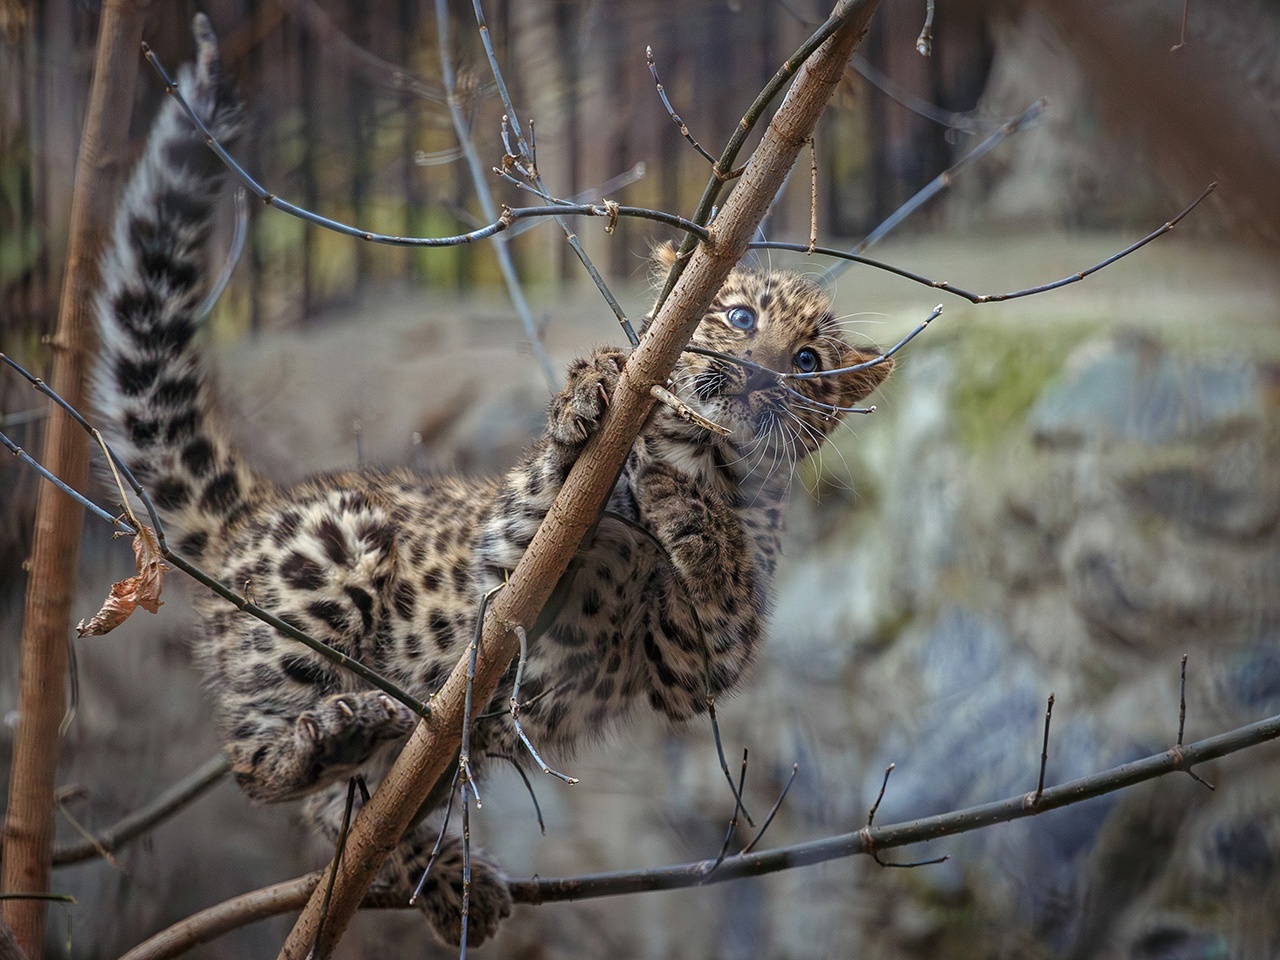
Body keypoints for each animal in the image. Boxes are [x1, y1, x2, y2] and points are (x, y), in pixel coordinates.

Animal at [90, 15, 891, 948]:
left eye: (807, 364)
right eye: (737, 316)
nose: (760, 374)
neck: (701, 452)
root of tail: (246, 516)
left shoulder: (692, 667)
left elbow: (715, 589)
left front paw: (686, 511)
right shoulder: (501, 561)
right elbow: (543, 499)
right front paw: (590, 393)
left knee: (340, 814)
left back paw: (438, 866)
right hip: (332, 553)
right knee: (255, 759)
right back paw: (339, 741)